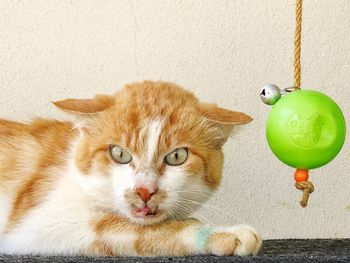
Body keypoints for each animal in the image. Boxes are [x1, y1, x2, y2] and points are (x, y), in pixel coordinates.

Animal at [0, 81, 262, 256]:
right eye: (119, 154)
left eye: (177, 156)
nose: (145, 190)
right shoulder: (38, 222)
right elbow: (124, 227)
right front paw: (221, 233)